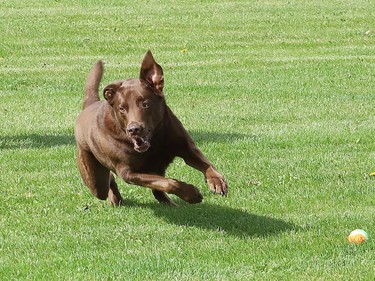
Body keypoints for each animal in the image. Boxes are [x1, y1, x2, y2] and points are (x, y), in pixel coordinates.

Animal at [74, 50, 228, 205]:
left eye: (145, 104)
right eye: (122, 108)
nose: (133, 129)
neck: (155, 141)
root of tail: (89, 105)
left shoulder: (186, 147)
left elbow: (206, 164)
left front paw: (217, 181)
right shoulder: (128, 173)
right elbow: (169, 183)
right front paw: (192, 193)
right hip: (94, 178)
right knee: (107, 182)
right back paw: (115, 198)